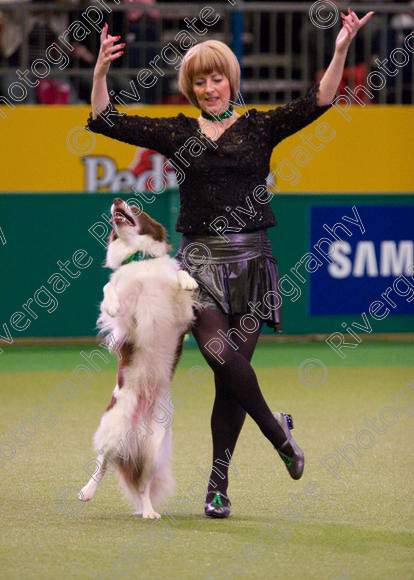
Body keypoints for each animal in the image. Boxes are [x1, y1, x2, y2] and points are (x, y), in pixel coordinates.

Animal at [79, 201, 201, 520]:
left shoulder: (181, 314)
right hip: (113, 429)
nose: (117, 201)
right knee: (102, 464)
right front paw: (110, 303)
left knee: (144, 485)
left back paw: (149, 511)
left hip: (153, 450)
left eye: (135, 207)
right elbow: (110, 290)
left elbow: (181, 279)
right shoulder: (127, 324)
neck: (140, 261)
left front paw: (188, 280)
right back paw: (87, 490)